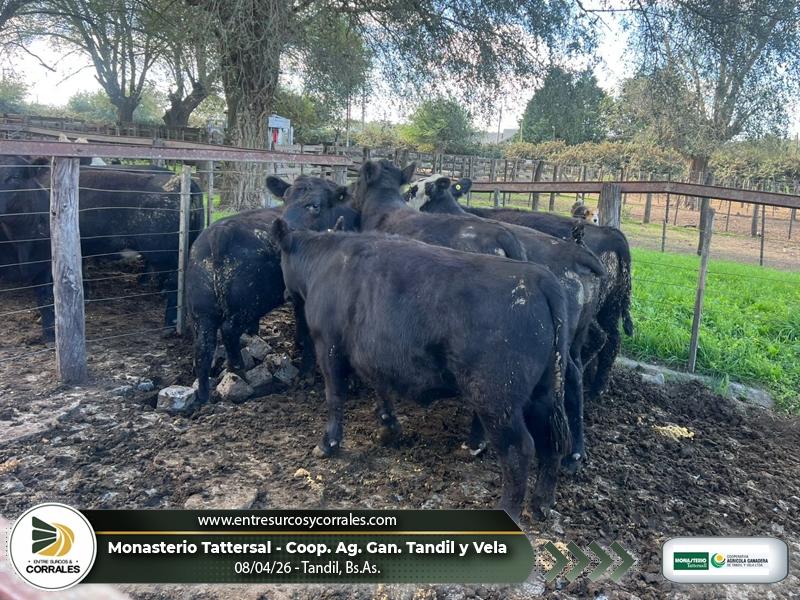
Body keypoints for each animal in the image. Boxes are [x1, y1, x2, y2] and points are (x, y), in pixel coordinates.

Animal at [187, 175, 357, 404]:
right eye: (284, 200)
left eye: (315, 205)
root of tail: (219, 232)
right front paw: (308, 373)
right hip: (249, 303)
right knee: (229, 330)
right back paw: (240, 375)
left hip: (202, 311)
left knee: (203, 348)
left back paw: (204, 397)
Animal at [271, 217, 571, 522]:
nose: (283, 292)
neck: (325, 259)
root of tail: (539, 277)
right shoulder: (374, 353)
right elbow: (381, 387)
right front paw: (388, 428)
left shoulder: (327, 345)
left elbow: (334, 396)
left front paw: (328, 443)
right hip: (544, 392)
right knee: (551, 444)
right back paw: (541, 504)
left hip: (497, 399)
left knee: (519, 451)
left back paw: (509, 510)